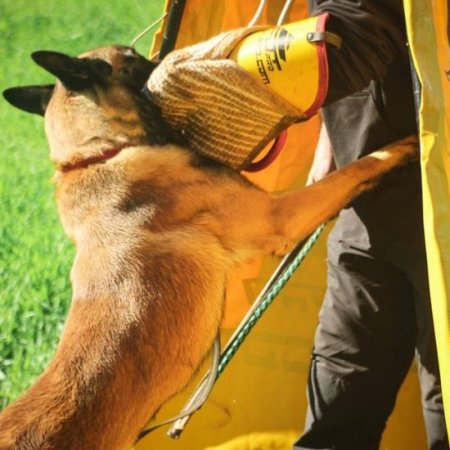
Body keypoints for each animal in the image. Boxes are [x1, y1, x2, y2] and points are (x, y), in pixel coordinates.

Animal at [0, 44, 416, 448]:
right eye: (133, 58)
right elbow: (355, 169)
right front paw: (402, 147)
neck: (94, 154)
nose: (167, 56)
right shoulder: (279, 215)